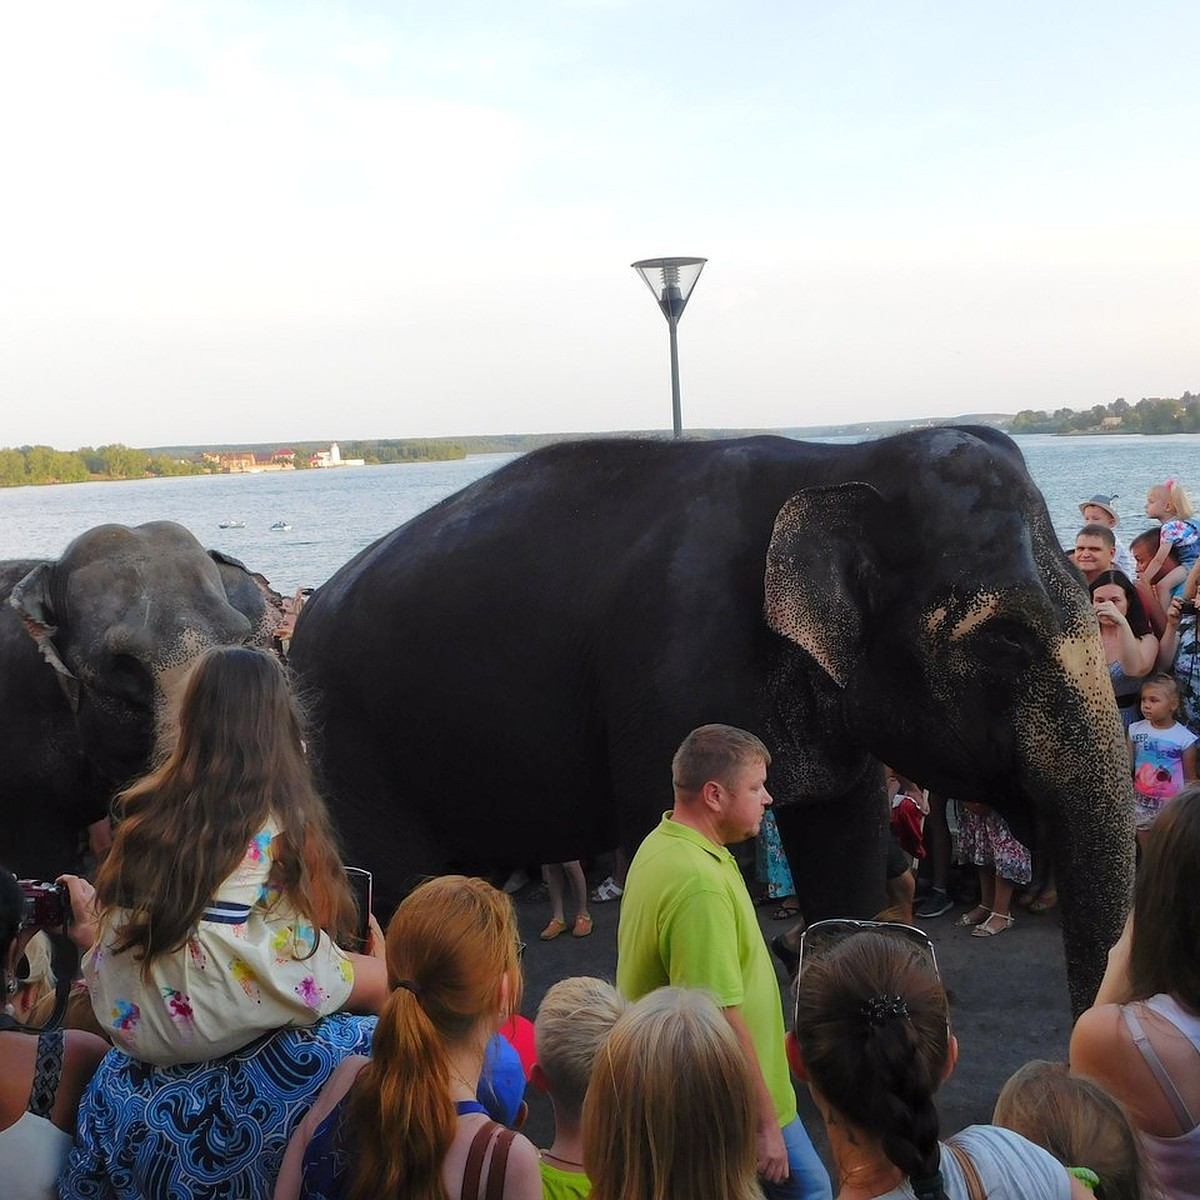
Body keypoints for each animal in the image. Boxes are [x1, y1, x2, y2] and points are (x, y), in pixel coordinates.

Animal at [290, 432, 1132, 1012]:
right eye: (1005, 641)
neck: (838, 463)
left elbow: (847, 846)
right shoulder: (670, 677)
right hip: (345, 738)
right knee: (394, 892)